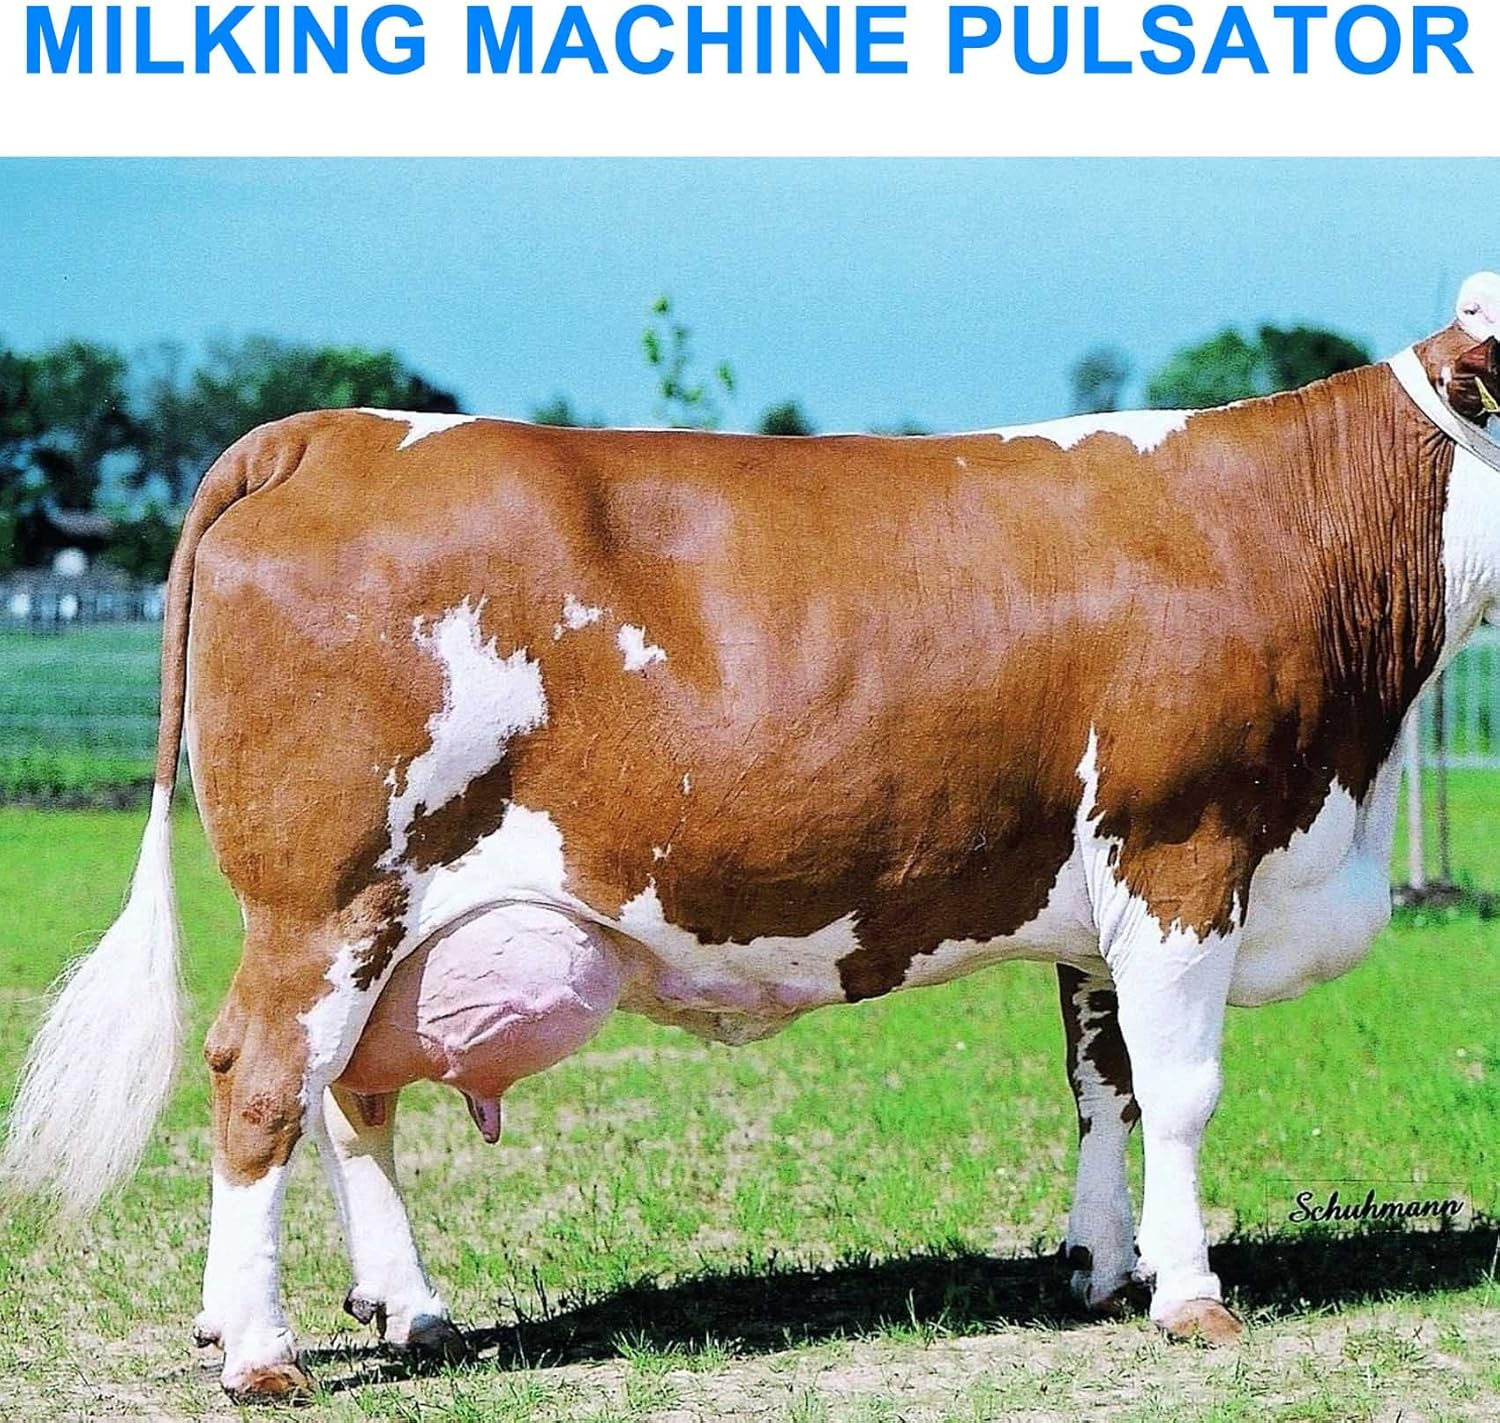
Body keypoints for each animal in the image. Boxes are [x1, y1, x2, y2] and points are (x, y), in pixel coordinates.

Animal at [7, 274, 1500, 1402]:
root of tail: (331, 430)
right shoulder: (1183, 844)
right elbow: (1183, 1090)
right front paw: (1191, 1298)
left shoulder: (1103, 891)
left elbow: (1105, 1085)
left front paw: (1101, 1264)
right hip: (323, 895)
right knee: (262, 1077)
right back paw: (258, 1352)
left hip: (388, 921)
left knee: (350, 1092)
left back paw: (407, 1307)